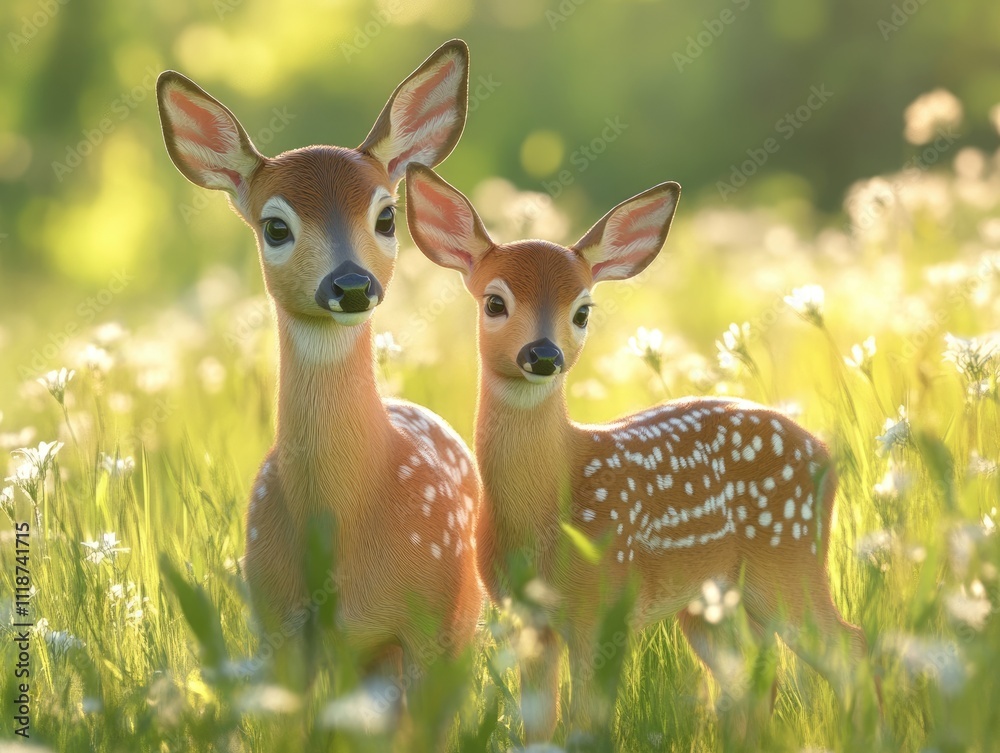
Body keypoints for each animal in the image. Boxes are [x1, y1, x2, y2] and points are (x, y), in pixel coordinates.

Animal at [405, 163, 880, 742]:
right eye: (495, 302)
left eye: (583, 311)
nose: (543, 354)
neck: (547, 508)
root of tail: (824, 452)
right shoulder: (526, 620)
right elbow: (538, 728)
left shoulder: (601, 603)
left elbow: (587, 723)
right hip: (713, 602)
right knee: (755, 678)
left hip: (789, 560)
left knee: (851, 646)